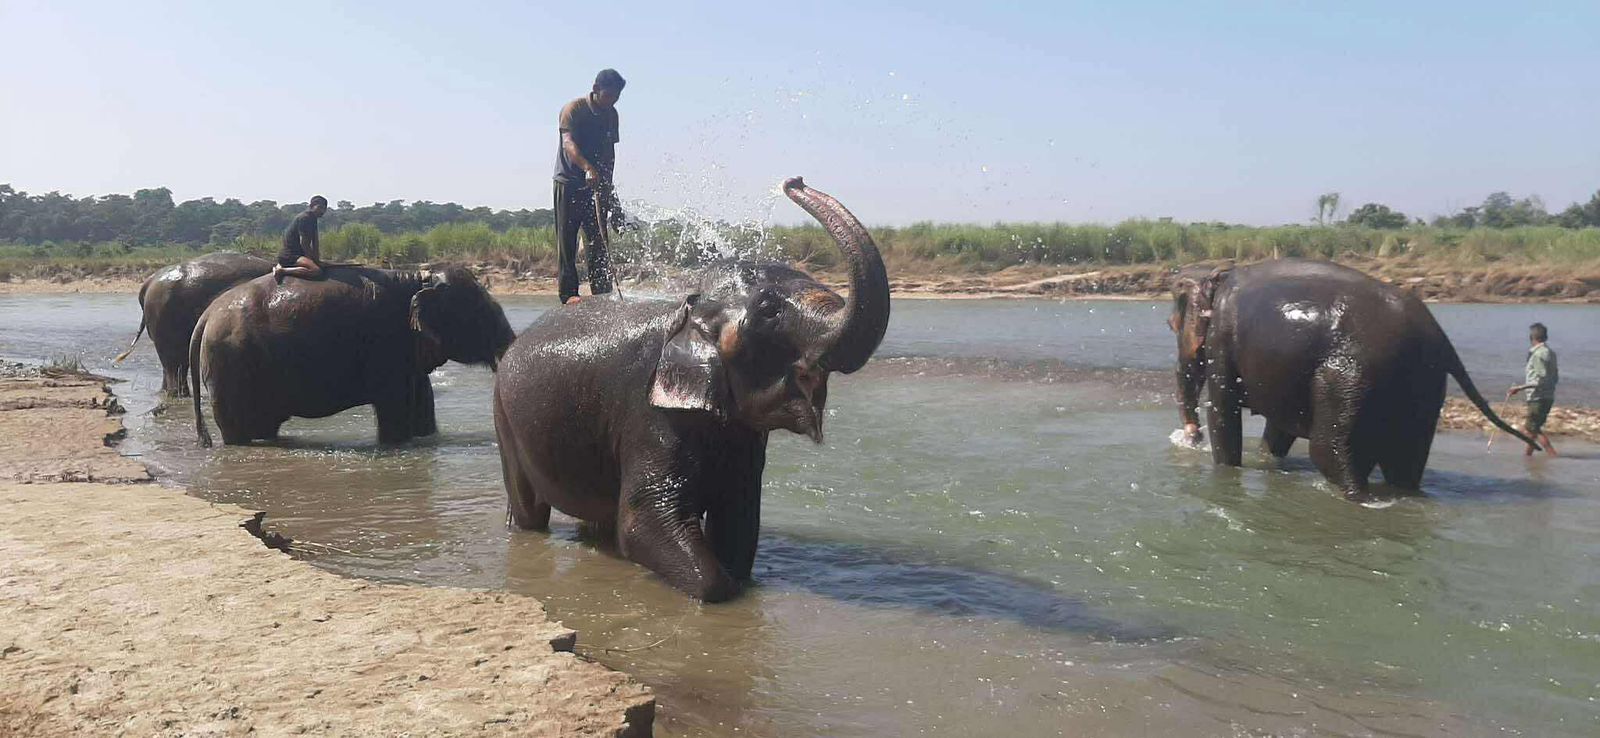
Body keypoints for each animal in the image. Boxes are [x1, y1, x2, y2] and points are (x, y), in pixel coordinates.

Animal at [189, 266, 514, 446]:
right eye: (480, 312)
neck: (418, 279)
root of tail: (205, 316)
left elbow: (422, 397)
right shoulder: (384, 342)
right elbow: (395, 404)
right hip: (229, 363)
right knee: (237, 426)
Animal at [492, 177, 890, 602]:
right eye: (769, 311)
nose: (793, 181)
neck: (690, 311)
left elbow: (739, 520)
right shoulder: (650, 414)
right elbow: (643, 522)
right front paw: (720, 590)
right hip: (504, 418)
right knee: (530, 508)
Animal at [1168, 258, 1537, 501]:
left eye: (1173, 326)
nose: (1191, 436)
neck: (1218, 273)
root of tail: (1438, 335)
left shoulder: (1221, 338)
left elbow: (1224, 411)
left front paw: (1226, 470)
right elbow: (1279, 429)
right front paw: (1266, 460)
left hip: (1349, 376)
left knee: (1328, 451)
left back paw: (1360, 497)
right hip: (1424, 385)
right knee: (1405, 460)